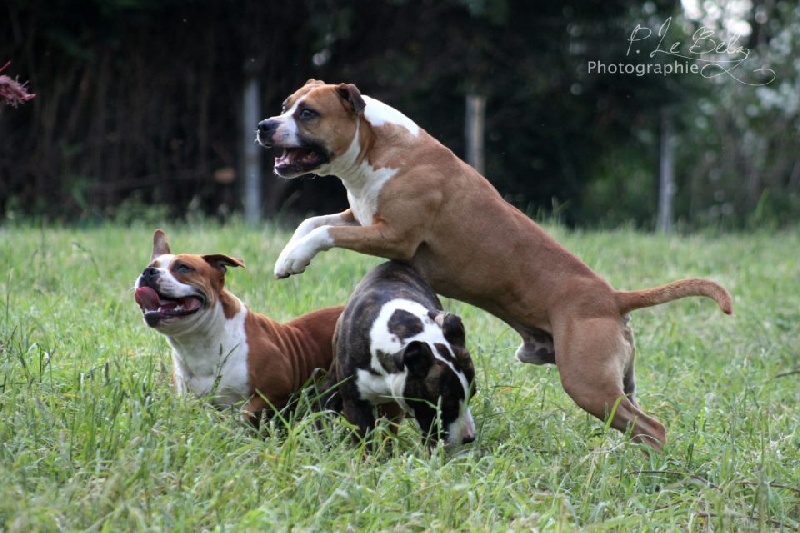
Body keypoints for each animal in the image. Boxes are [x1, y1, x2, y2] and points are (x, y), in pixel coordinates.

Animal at [132, 229, 344, 424]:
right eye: (150, 266)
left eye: (183, 268)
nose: (148, 272)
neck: (201, 342)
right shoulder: (186, 399)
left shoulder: (275, 391)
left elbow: (243, 415)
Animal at [256, 80, 732, 448]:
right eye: (284, 107)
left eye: (308, 114)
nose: (264, 126)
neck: (378, 143)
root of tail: (613, 298)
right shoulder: (361, 217)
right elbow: (312, 221)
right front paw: (287, 256)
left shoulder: (392, 236)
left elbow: (325, 232)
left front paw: (294, 256)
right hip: (617, 383)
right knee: (638, 420)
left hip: (587, 382)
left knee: (652, 428)